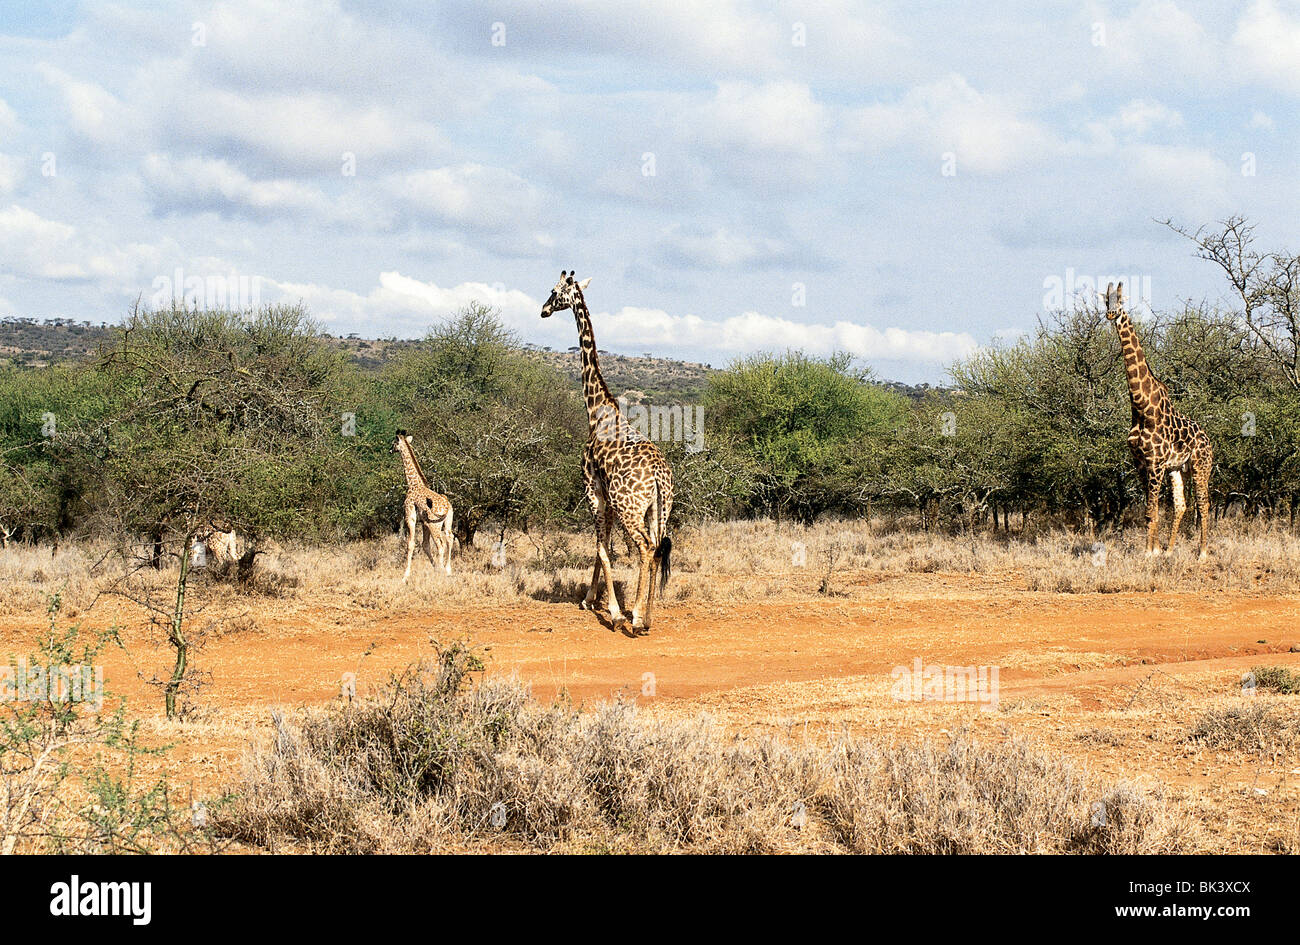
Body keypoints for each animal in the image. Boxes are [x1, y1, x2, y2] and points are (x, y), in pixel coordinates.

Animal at [392, 429, 454, 580]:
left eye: (393, 443)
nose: (390, 450)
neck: (413, 484)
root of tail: (447, 506)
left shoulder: (410, 517)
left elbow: (410, 543)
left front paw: (405, 575)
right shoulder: (423, 522)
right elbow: (425, 545)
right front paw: (436, 567)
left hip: (434, 525)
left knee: (440, 544)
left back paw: (442, 571)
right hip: (447, 522)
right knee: (450, 538)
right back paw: (447, 569)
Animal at [541, 271, 673, 634]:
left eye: (555, 291)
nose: (543, 310)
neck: (598, 411)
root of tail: (659, 476)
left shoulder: (593, 490)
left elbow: (602, 549)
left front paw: (613, 612)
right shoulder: (609, 500)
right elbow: (604, 549)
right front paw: (589, 599)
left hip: (631, 507)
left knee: (645, 547)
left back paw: (637, 619)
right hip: (659, 509)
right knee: (657, 548)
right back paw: (648, 616)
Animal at [1104, 282, 1213, 559]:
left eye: (1120, 301)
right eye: (1105, 302)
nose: (1111, 314)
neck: (1142, 406)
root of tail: (1209, 440)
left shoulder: (1155, 463)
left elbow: (1151, 511)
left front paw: (1148, 553)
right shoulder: (1141, 463)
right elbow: (1149, 510)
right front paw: (1155, 550)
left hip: (1201, 466)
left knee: (1204, 503)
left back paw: (1202, 553)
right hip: (1178, 469)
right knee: (1182, 505)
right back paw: (1170, 550)